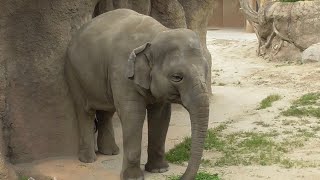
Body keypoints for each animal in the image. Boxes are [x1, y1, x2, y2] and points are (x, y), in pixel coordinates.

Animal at [65, 8, 210, 180]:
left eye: (207, 71)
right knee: (85, 112)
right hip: (73, 74)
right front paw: (134, 177)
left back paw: (110, 152)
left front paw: (159, 170)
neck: (156, 35)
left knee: (107, 112)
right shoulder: (122, 71)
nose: (180, 176)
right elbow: (133, 115)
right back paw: (88, 159)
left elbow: (161, 116)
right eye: (177, 77)